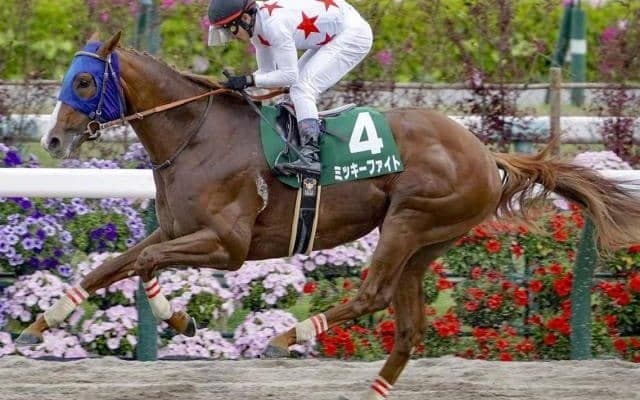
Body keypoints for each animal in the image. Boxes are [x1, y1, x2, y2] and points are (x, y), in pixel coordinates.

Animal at [18, 31, 640, 398]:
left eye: (83, 80)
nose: (52, 139)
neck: (197, 135)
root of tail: (488, 154)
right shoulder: (175, 230)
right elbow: (112, 267)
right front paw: (38, 324)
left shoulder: (227, 245)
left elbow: (145, 265)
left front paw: (178, 318)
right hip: (426, 243)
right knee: (408, 327)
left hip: (410, 220)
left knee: (372, 296)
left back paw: (287, 335)